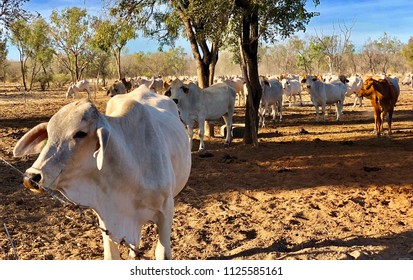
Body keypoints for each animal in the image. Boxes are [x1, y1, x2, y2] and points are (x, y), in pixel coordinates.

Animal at [12, 86, 190, 260]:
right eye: (49, 134)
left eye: (80, 133)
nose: (31, 177)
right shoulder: (106, 218)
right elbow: (111, 255)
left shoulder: (166, 211)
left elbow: (163, 254)